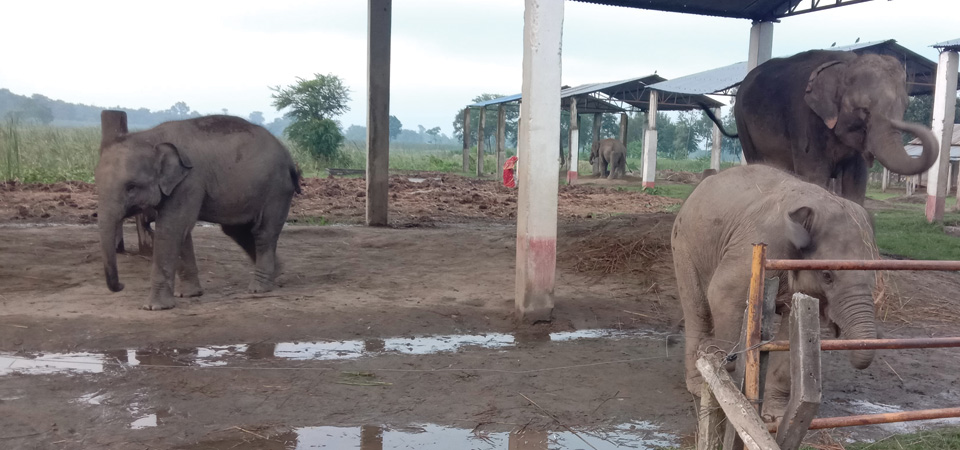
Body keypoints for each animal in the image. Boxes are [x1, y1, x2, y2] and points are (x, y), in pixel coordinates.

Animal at [672, 163, 880, 420]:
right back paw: (696, 384)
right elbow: (721, 295)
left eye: (874, 275)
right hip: (684, 245)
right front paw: (728, 392)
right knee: (698, 308)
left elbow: (791, 334)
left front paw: (775, 416)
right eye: (827, 276)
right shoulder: (756, 246)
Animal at [704, 49, 936, 204]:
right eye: (864, 110)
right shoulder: (805, 120)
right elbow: (814, 176)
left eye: (905, 107)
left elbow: (856, 182)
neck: (845, 66)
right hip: (742, 123)